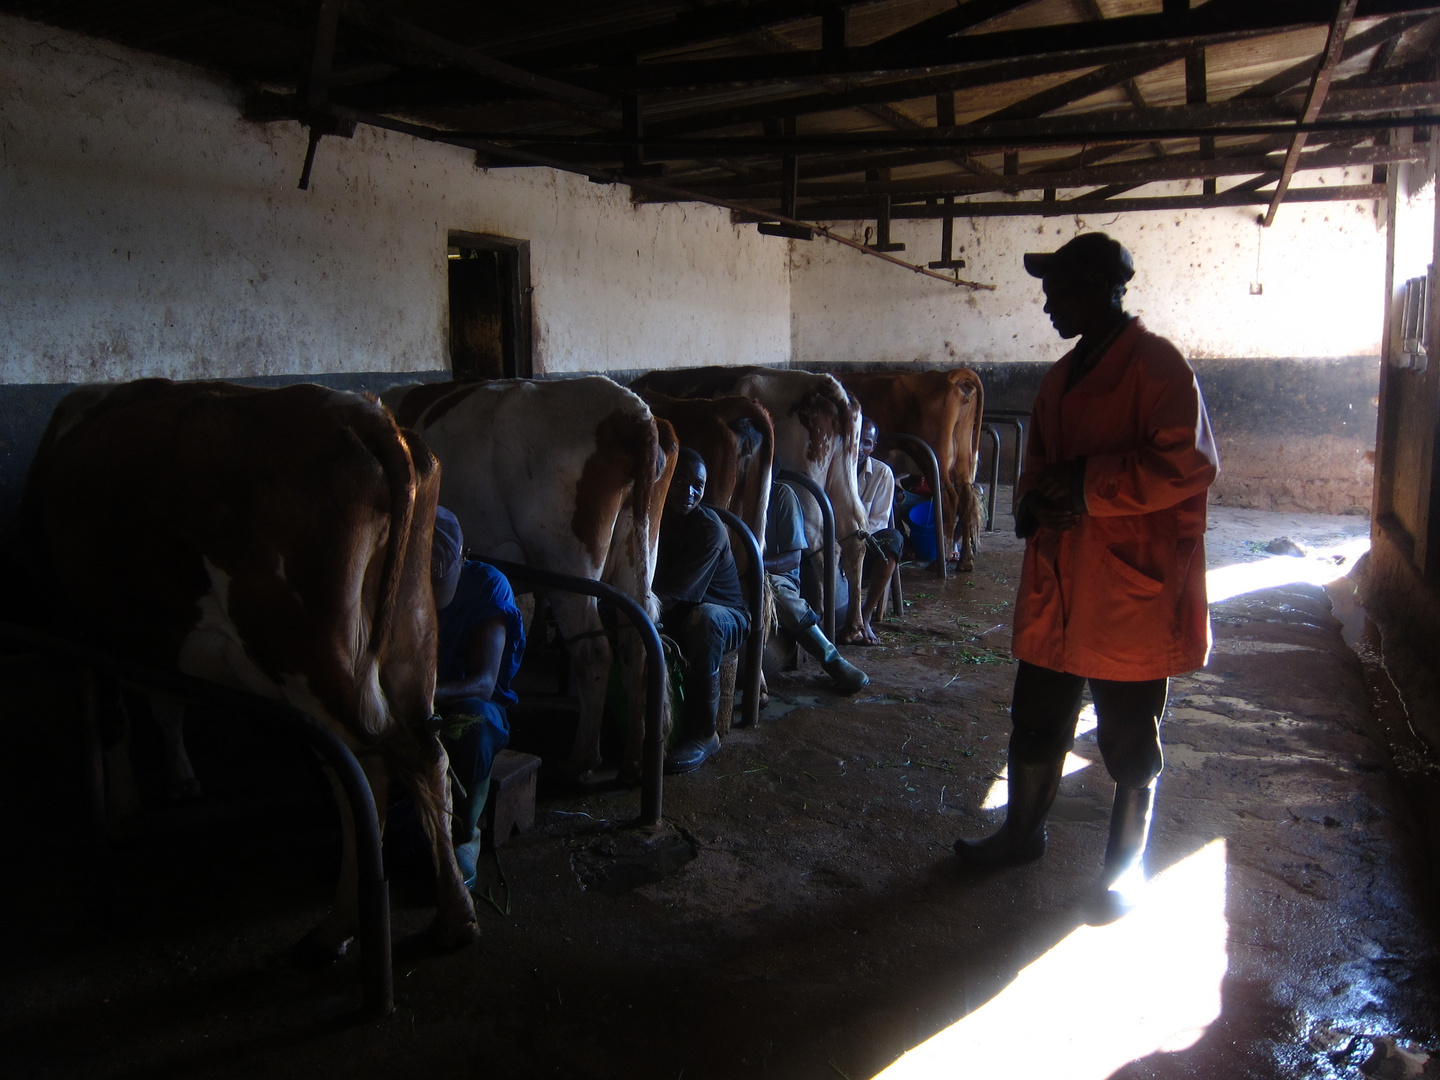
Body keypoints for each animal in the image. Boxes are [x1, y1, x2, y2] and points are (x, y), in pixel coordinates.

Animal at [12, 380, 478, 956]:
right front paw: (179, 780)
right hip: (410, 638)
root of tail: (359, 411)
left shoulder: (82, 628)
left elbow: (114, 721)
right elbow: (164, 704)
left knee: (365, 775)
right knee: (428, 755)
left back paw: (337, 926)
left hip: (307, 656)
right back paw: (454, 917)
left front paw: (120, 811)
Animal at [380, 377, 676, 783]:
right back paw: (632, 762)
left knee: (594, 652)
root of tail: (634, 410)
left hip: (568, 563)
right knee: (638, 645)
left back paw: (581, 759)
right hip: (638, 553)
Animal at [633, 368, 864, 648]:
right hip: (841, 475)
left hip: (802, 486)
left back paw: (822, 615)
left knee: (817, 543)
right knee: (851, 537)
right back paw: (853, 628)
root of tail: (826, 384)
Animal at [835, 371, 990, 570]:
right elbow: (894, 501)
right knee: (966, 498)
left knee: (948, 500)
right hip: (962, 455)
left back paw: (942, 558)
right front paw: (908, 547)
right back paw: (965, 560)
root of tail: (949, 375)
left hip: (933, 457)